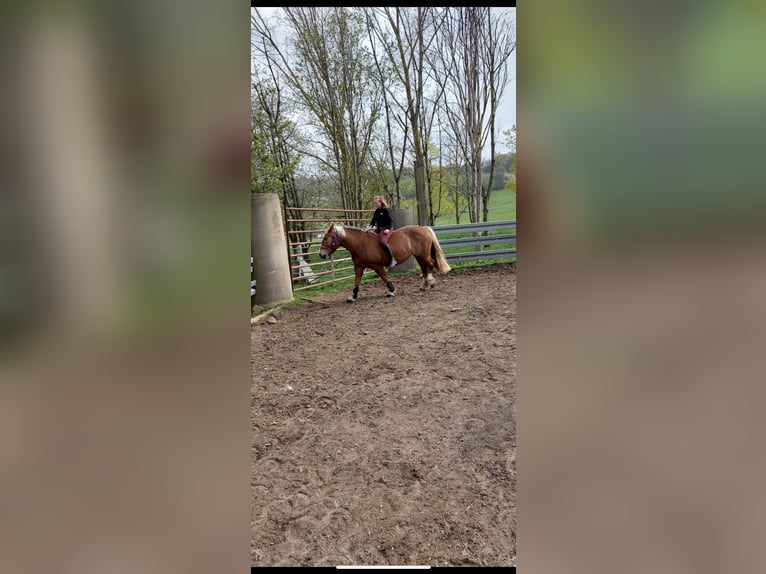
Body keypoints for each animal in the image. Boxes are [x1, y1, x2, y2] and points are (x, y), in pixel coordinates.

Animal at [318, 223, 452, 302]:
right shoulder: (359, 267)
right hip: (419, 256)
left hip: (423, 255)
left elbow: (384, 277)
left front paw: (391, 291)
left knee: (430, 264)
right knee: (425, 267)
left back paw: (430, 281)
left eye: (326, 238)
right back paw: (424, 285)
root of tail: (423, 228)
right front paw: (353, 296)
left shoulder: (376, 266)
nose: (321, 255)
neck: (360, 244)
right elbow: (357, 281)